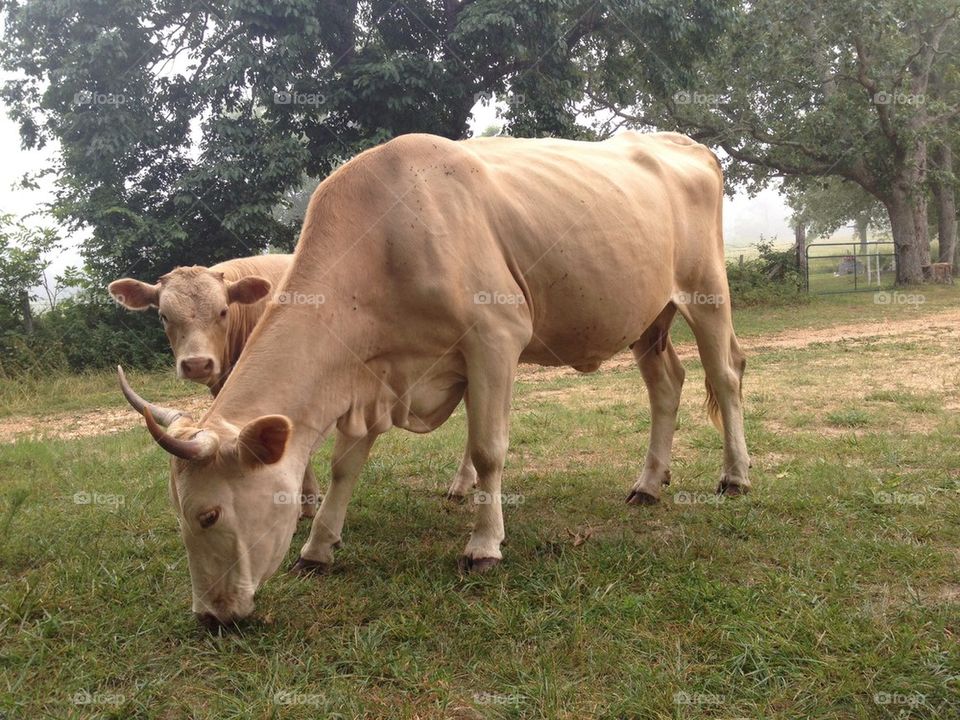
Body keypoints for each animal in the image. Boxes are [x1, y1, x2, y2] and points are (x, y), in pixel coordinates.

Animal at [119, 131, 750, 628]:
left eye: (209, 515)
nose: (210, 616)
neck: (385, 240)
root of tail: (682, 143)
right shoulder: (372, 374)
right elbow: (345, 464)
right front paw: (319, 547)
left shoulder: (495, 336)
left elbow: (489, 450)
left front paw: (484, 545)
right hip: (647, 317)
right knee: (666, 384)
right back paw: (649, 483)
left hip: (706, 290)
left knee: (725, 374)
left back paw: (735, 475)